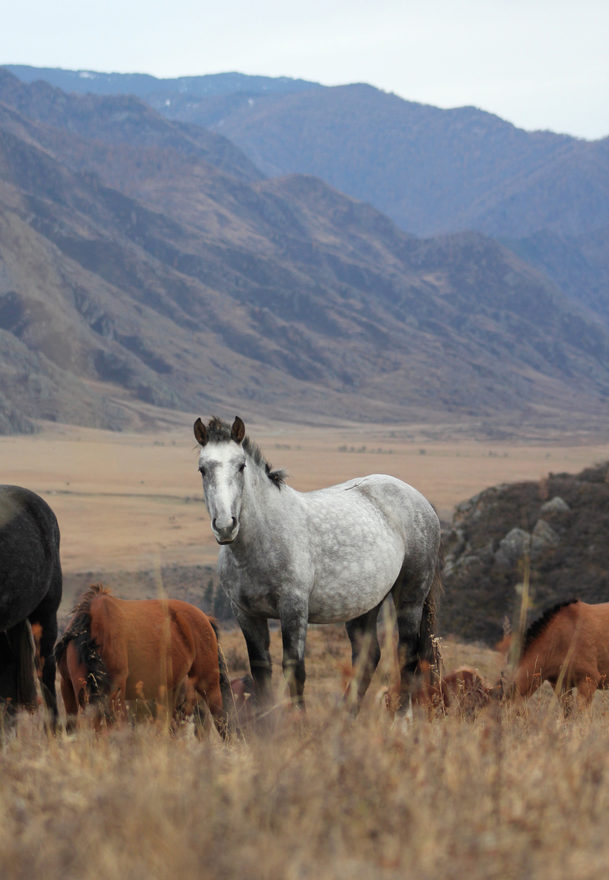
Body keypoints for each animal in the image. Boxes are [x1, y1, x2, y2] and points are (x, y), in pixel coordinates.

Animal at [55, 584, 230, 736]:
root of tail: (205, 617)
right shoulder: (67, 685)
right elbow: (71, 726)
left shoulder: (116, 687)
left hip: (208, 684)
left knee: (220, 721)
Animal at [192, 416, 440, 712]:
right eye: (202, 469)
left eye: (241, 466)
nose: (225, 526)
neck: (261, 541)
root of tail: (419, 499)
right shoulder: (245, 613)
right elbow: (260, 670)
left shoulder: (294, 608)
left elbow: (294, 670)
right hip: (365, 605)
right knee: (368, 657)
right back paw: (345, 716)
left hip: (410, 597)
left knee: (407, 655)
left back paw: (401, 716)